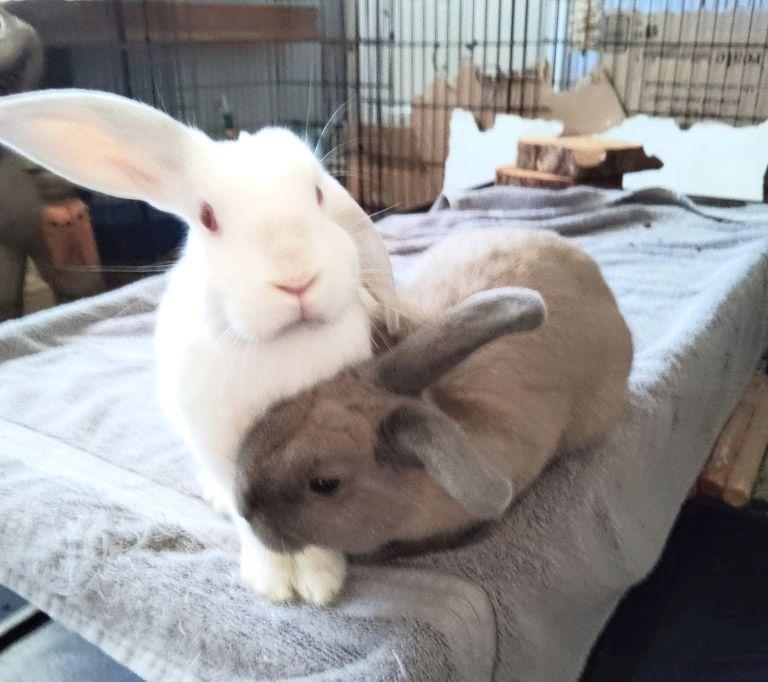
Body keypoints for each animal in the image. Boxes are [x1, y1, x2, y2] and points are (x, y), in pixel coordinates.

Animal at [0, 89, 400, 605]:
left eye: (317, 194)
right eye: (208, 218)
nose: (296, 278)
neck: (279, 343)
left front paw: (317, 579)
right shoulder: (222, 449)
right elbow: (253, 515)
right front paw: (282, 582)